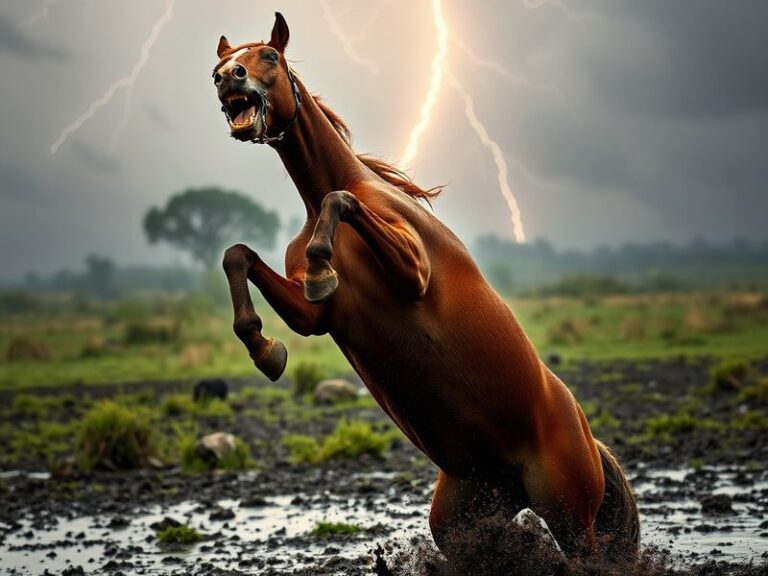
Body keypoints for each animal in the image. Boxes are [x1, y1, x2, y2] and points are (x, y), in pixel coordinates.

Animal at [212, 12, 639, 562]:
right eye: (222, 63)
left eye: (268, 56)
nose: (227, 78)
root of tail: (588, 435)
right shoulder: (315, 318)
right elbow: (238, 255)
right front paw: (266, 348)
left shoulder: (412, 272)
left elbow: (341, 199)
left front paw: (322, 266)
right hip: (462, 523)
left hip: (569, 514)